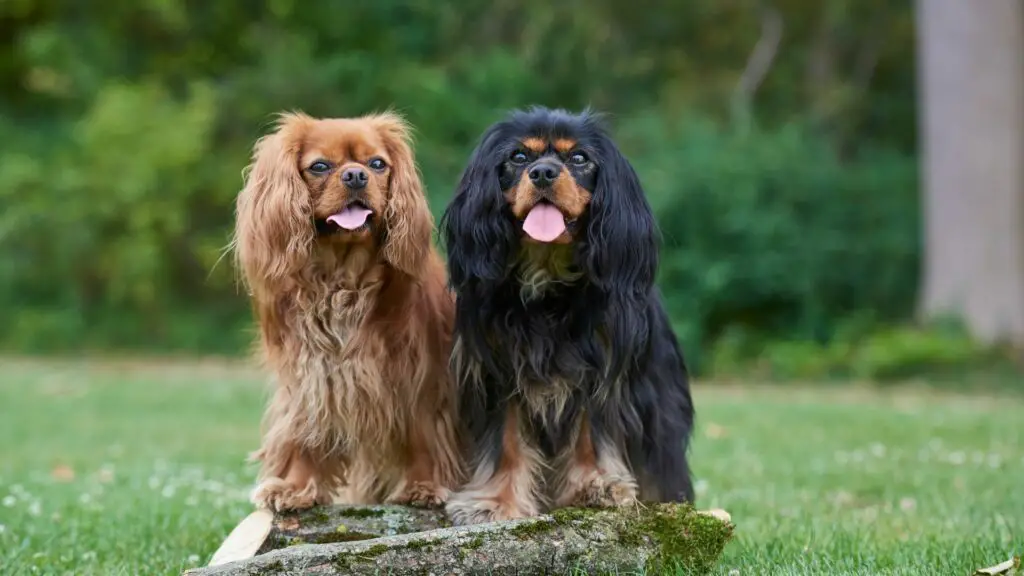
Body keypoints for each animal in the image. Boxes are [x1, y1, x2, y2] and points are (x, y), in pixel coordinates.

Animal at [234, 112, 462, 510]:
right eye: (319, 166)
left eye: (378, 164)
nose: (356, 175)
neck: (342, 279)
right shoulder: (311, 375)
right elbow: (305, 432)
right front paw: (294, 487)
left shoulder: (421, 374)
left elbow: (423, 432)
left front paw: (423, 485)